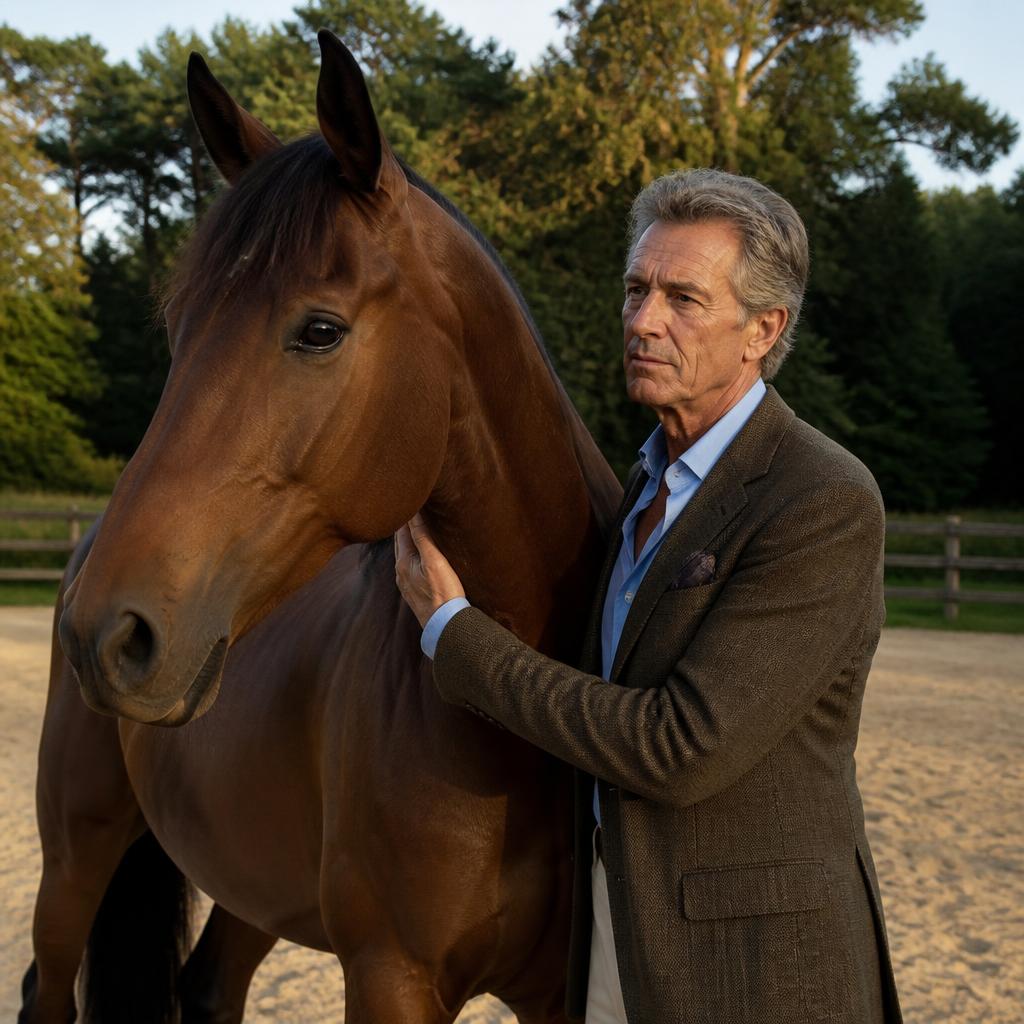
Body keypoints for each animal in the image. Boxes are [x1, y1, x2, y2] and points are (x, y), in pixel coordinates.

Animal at [19, 30, 622, 1024]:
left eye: (320, 331)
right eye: (179, 326)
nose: (107, 635)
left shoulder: (554, 992)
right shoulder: (389, 976)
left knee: (208, 986)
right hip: (78, 850)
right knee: (48, 986)